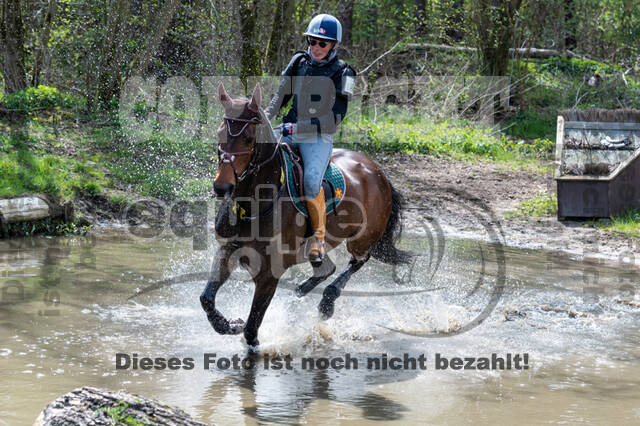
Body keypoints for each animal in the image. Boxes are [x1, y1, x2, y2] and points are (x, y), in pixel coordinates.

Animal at [200, 81, 410, 348]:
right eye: (220, 134)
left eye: (248, 138)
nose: (222, 187)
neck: (256, 203)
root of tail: (377, 171)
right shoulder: (228, 250)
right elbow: (207, 299)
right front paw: (228, 324)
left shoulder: (269, 274)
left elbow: (251, 331)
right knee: (327, 267)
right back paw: (302, 292)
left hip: (362, 238)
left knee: (358, 260)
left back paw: (327, 302)